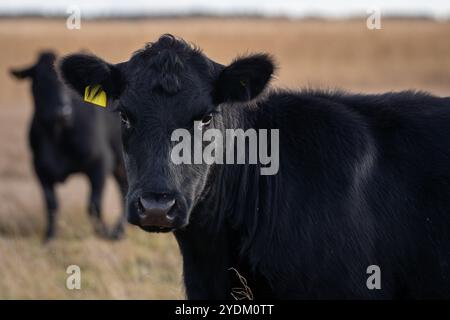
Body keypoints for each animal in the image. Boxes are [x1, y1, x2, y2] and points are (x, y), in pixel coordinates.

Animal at [11, 50, 126, 241]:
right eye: (40, 81)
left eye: (67, 86)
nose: (62, 111)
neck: (57, 136)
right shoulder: (40, 169)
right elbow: (51, 205)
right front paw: (49, 238)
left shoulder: (100, 163)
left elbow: (93, 205)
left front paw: (104, 233)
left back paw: (118, 231)